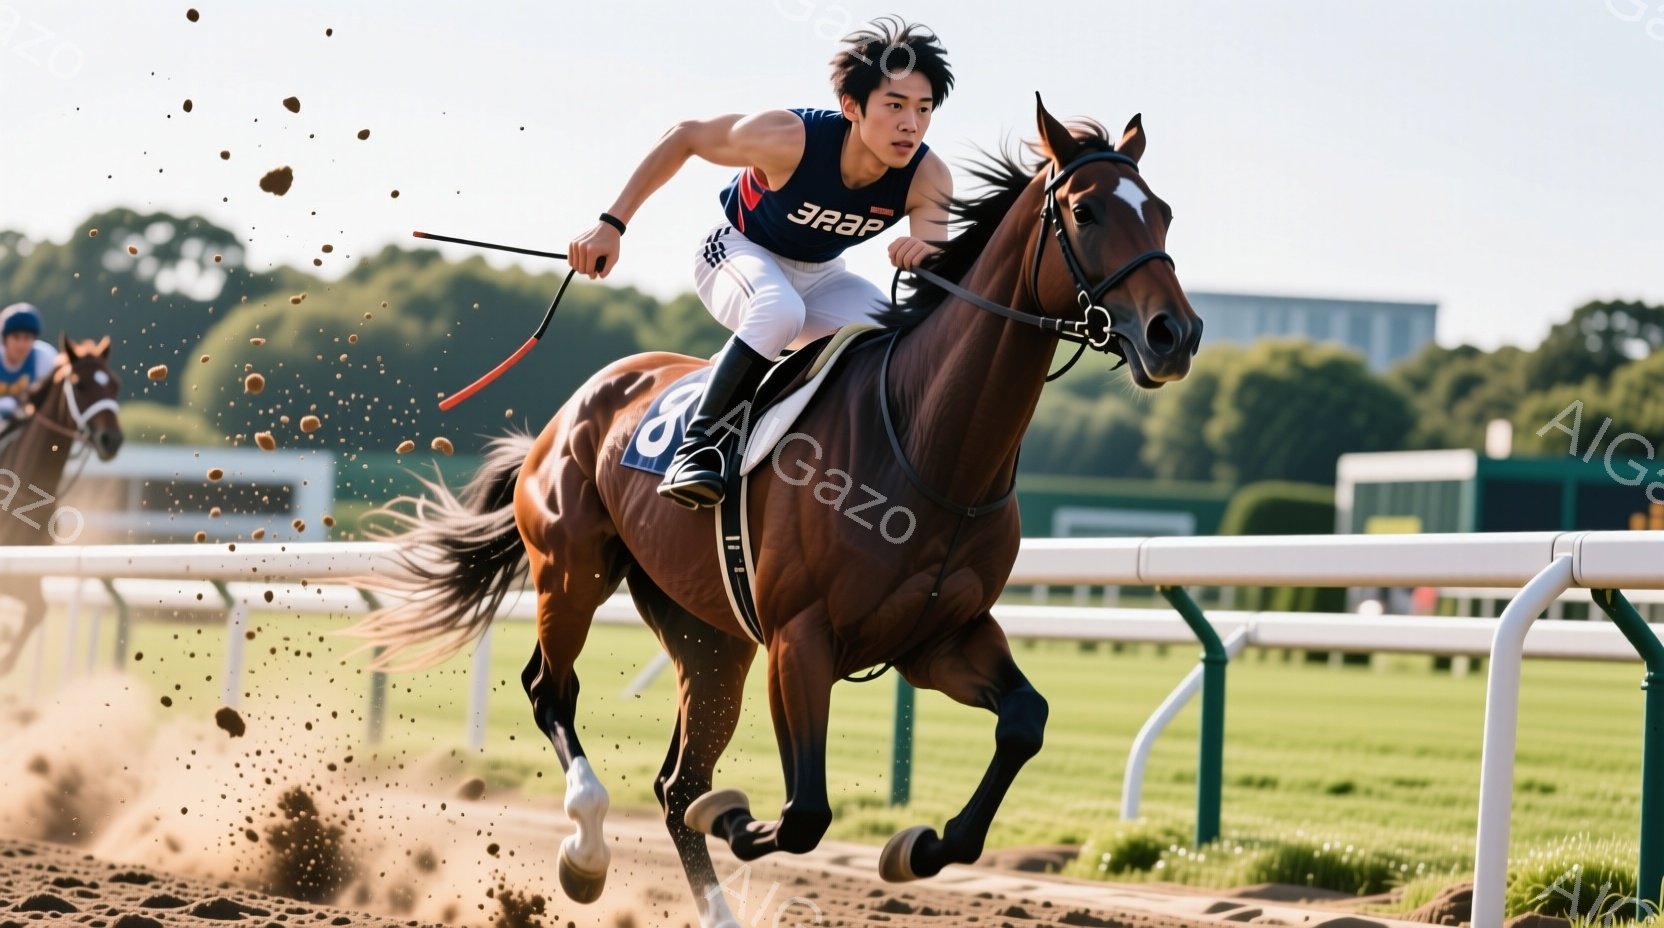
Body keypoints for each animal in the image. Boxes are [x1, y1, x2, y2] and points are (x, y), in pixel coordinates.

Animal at [0, 335, 124, 675]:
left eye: (115, 384)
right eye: (79, 384)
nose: (111, 439)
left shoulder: (30, 571)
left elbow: (37, 611)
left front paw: (6, 660)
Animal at [353, 97, 1201, 928]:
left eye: (1161, 211)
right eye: (1086, 212)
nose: (1176, 333)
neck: (931, 445)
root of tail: (567, 413)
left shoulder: (940, 636)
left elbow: (1024, 721)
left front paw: (920, 846)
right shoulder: (800, 637)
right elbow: (801, 814)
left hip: (709, 636)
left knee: (675, 782)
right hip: (573, 568)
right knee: (552, 692)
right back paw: (587, 848)